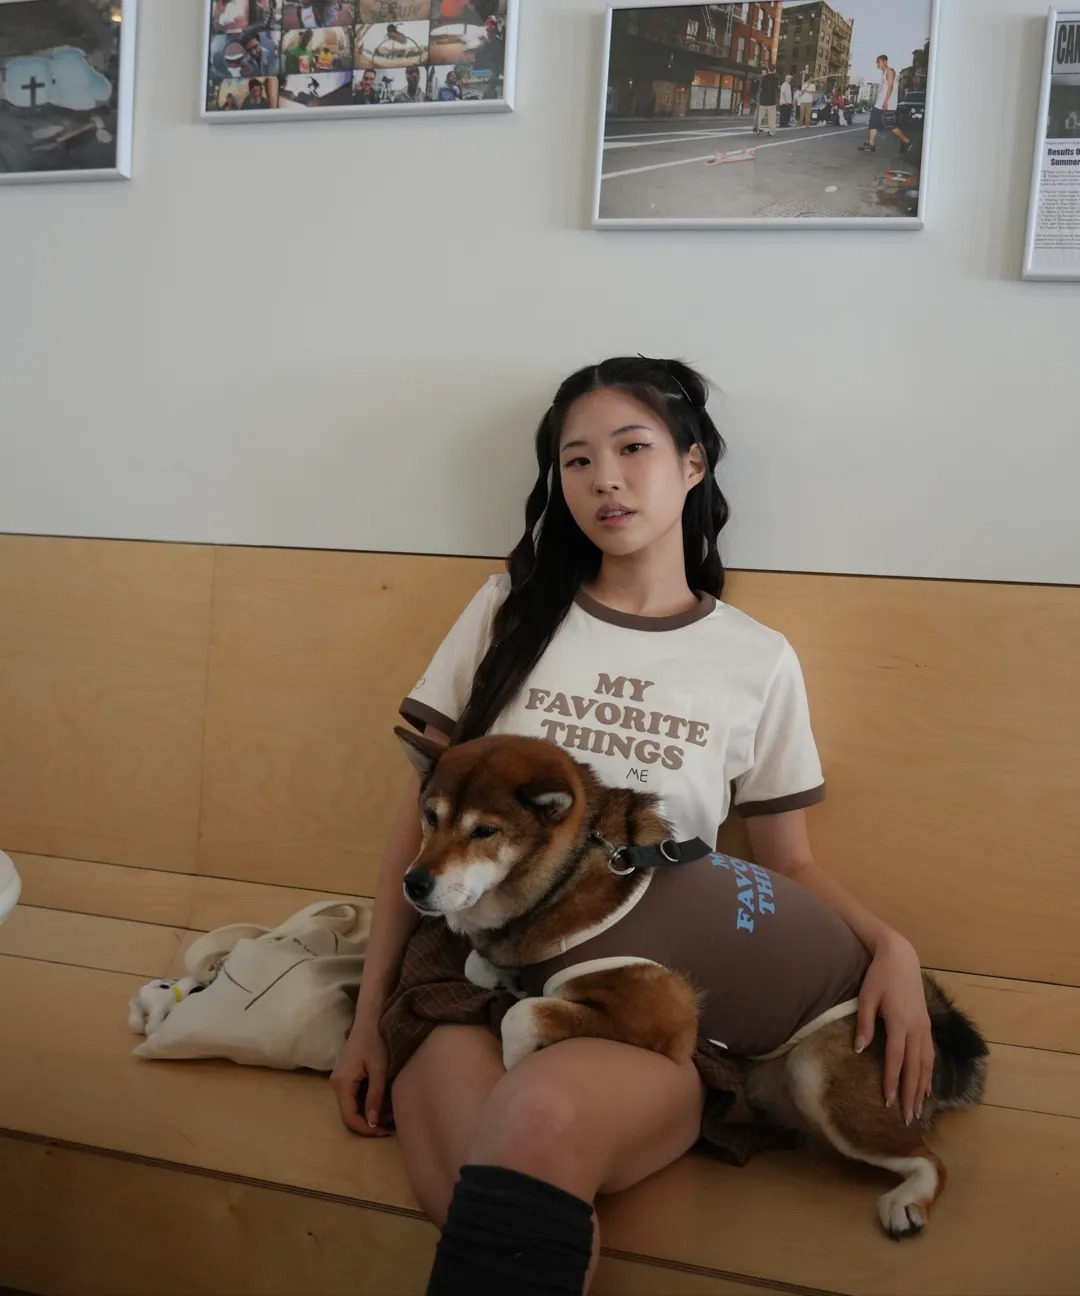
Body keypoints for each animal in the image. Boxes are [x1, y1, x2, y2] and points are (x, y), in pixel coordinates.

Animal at [395, 727, 988, 1240]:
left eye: (484, 831)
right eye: (430, 817)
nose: (413, 883)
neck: (572, 874)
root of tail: (930, 1018)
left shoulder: (668, 1019)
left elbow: (524, 1018)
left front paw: (518, 1046)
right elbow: (479, 967)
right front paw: (506, 975)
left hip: (813, 1071)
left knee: (930, 1159)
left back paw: (906, 1203)